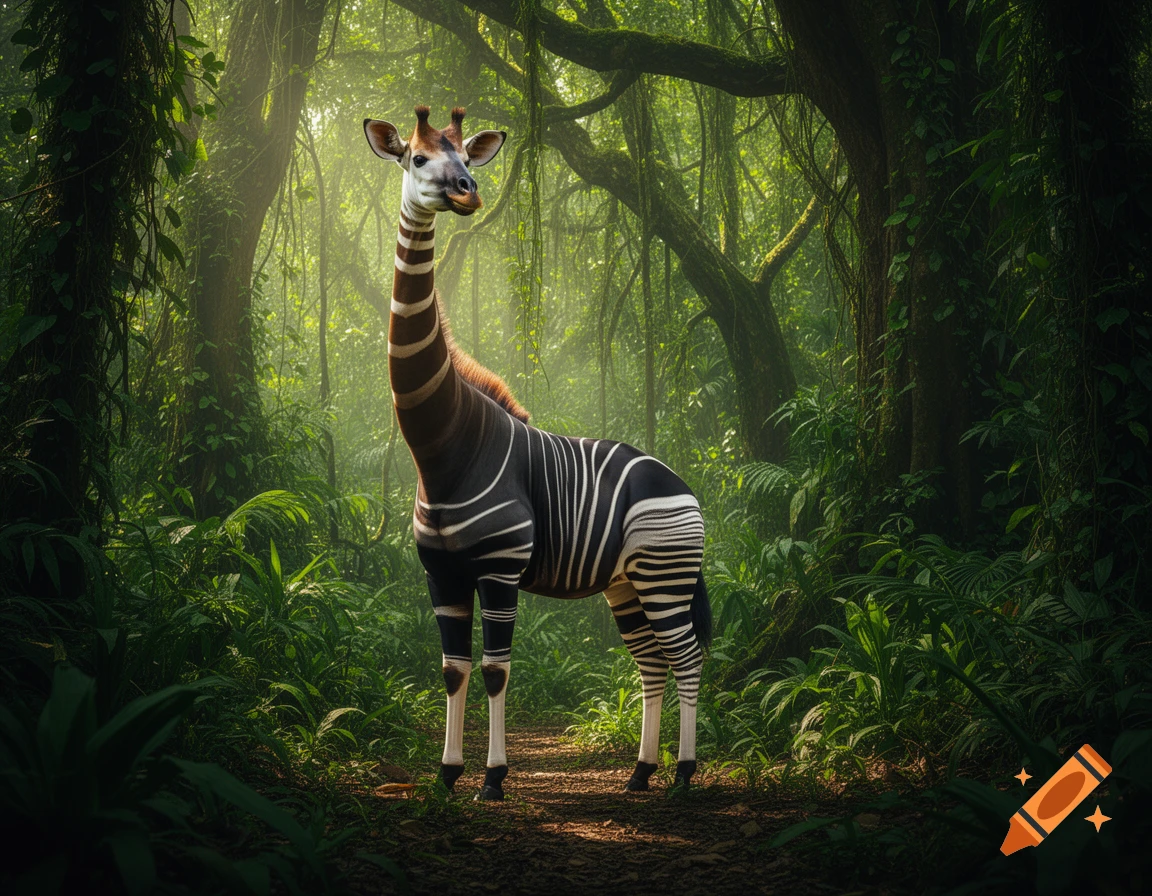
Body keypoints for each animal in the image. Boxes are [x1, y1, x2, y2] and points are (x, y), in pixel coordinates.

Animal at [364, 105, 711, 800]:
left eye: (464, 157)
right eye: (417, 159)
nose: (467, 190)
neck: (443, 451)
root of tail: (681, 484)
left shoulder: (500, 569)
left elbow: (495, 670)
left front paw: (494, 779)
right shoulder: (441, 574)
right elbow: (453, 668)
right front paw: (447, 775)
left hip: (665, 575)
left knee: (685, 658)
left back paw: (685, 774)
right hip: (627, 584)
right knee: (652, 664)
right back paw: (640, 773)